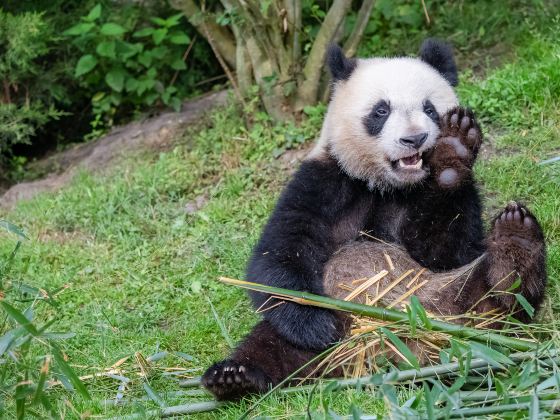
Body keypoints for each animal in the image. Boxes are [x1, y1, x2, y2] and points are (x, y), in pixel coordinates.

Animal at [201, 38, 548, 400]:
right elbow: (279, 256)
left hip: (451, 300)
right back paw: (234, 377)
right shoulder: (324, 181)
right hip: (319, 334)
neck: (386, 185)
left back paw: (514, 249)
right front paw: (314, 325)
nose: (414, 139)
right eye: (381, 111)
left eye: (429, 109)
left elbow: (447, 250)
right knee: (271, 347)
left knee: (494, 300)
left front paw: (454, 152)